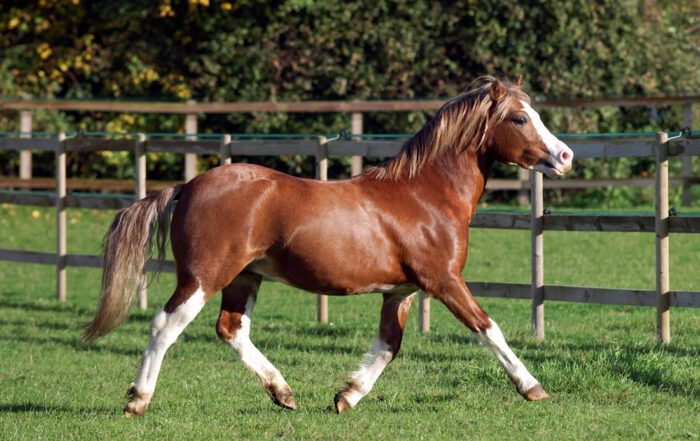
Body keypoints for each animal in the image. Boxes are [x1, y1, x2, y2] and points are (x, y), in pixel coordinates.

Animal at [84, 76, 573, 417]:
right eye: (520, 118)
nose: (565, 156)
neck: (423, 196)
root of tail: (188, 186)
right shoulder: (444, 280)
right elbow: (488, 328)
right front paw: (533, 387)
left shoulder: (400, 291)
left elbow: (388, 345)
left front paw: (346, 397)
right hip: (204, 276)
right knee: (165, 326)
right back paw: (137, 400)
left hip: (245, 277)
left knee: (231, 329)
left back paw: (283, 393)